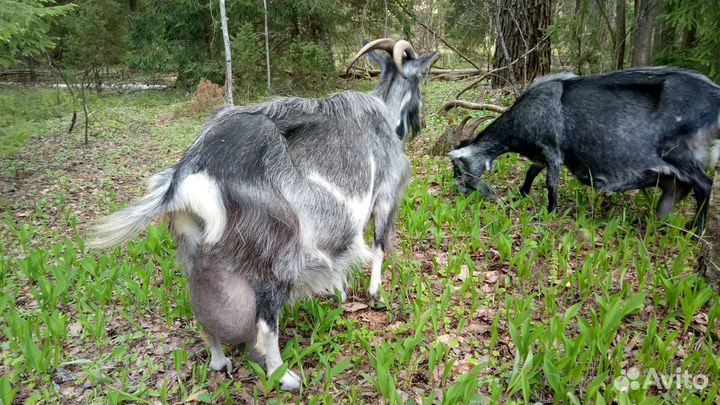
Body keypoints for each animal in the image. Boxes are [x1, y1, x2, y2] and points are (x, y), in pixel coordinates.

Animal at [90, 39, 438, 391]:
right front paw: (374, 293)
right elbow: (379, 246)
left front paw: (339, 294)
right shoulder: (386, 194)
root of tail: (184, 179)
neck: (384, 113)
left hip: (193, 246)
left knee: (204, 312)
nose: (419, 126)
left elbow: (339, 260)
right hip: (277, 254)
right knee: (266, 323)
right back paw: (285, 376)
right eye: (420, 81)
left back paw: (220, 361)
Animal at [449, 67, 720, 229]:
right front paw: (520, 195)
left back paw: (695, 230)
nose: (459, 192)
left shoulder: (553, 151)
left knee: (704, 184)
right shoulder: (539, 155)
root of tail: (714, 95)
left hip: (680, 153)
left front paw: (551, 212)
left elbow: (550, 183)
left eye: (457, 167)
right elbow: (530, 173)